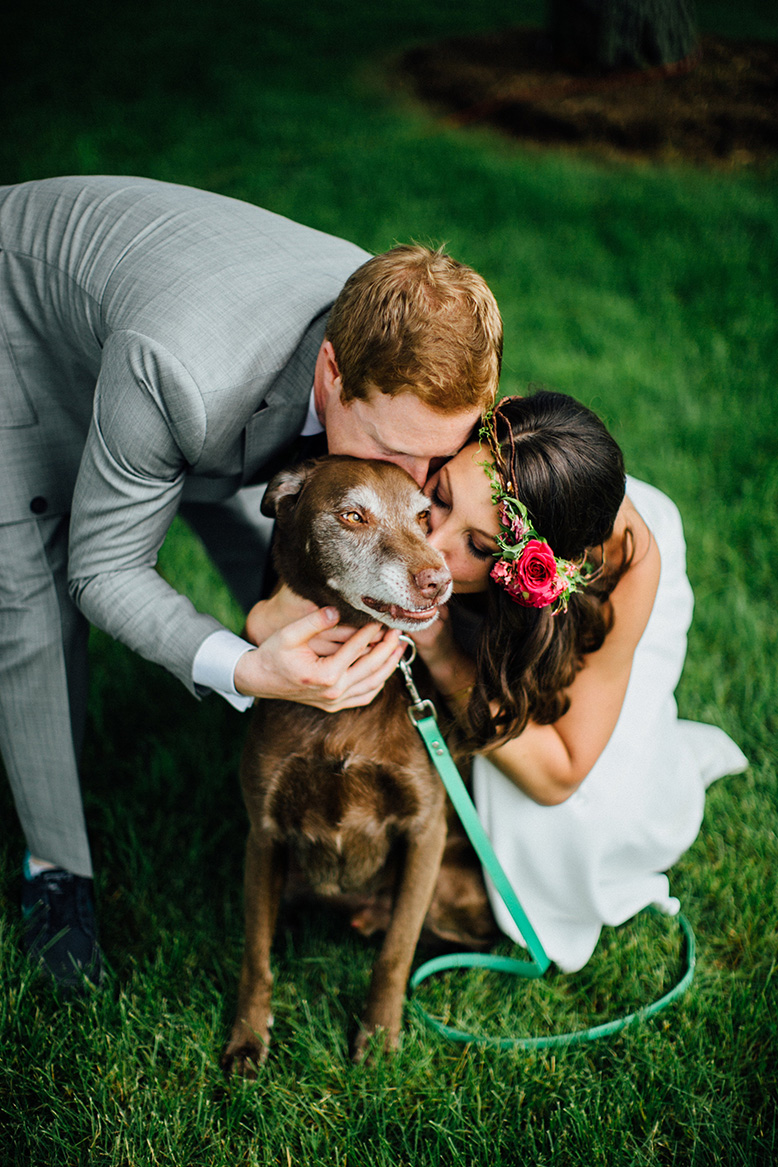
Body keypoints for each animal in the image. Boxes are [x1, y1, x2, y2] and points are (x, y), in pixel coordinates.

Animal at [221, 455, 457, 1073]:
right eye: (353, 516)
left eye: (424, 517)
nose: (439, 580)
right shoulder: (264, 835)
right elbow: (256, 955)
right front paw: (247, 1040)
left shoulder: (427, 831)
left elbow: (396, 952)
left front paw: (378, 1038)